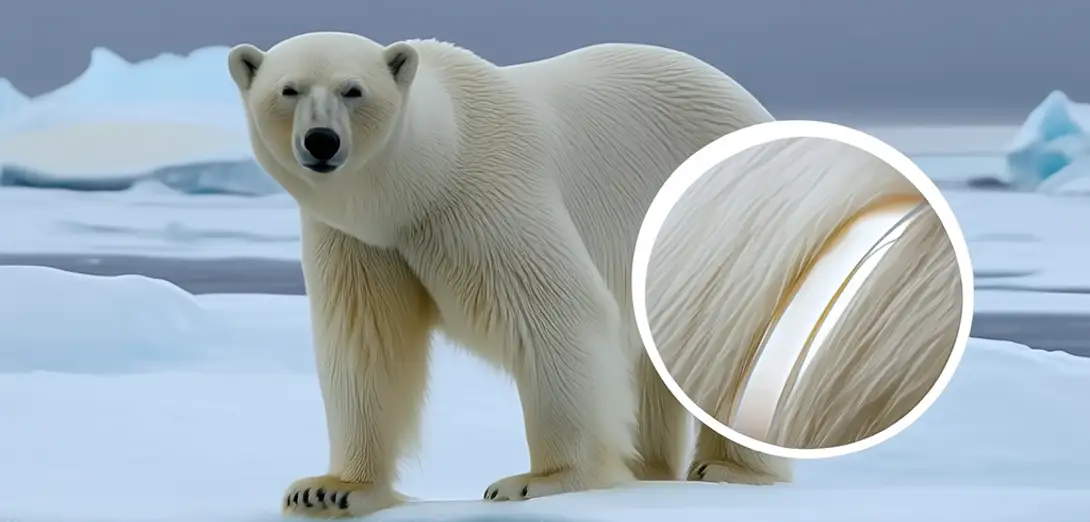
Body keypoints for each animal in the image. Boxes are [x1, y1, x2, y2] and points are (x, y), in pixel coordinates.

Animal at [227, 31, 790, 518]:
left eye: (353, 89)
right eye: (288, 89)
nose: (321, 141)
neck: (424, 178)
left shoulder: (485, 195)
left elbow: (555, 313)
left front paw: (540, 481)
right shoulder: (360, 241)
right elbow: (366, 342)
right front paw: (330, 490)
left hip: (732, 216)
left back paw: (726, 468)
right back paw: (649, 468)